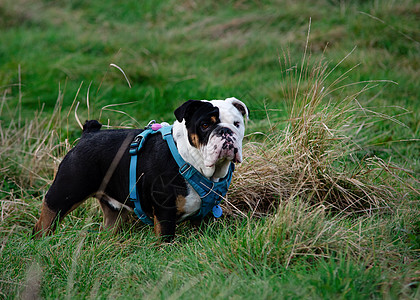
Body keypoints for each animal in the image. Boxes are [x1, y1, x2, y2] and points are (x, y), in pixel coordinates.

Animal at [34, 97, 249, 243]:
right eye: (204, 125)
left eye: (237, 124)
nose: (225, 131)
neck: (193, 161)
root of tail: (88, 133)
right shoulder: (165, 212)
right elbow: (166, 240)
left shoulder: (203, 218)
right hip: (64, 193)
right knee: (46, 221)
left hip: (114, 212)